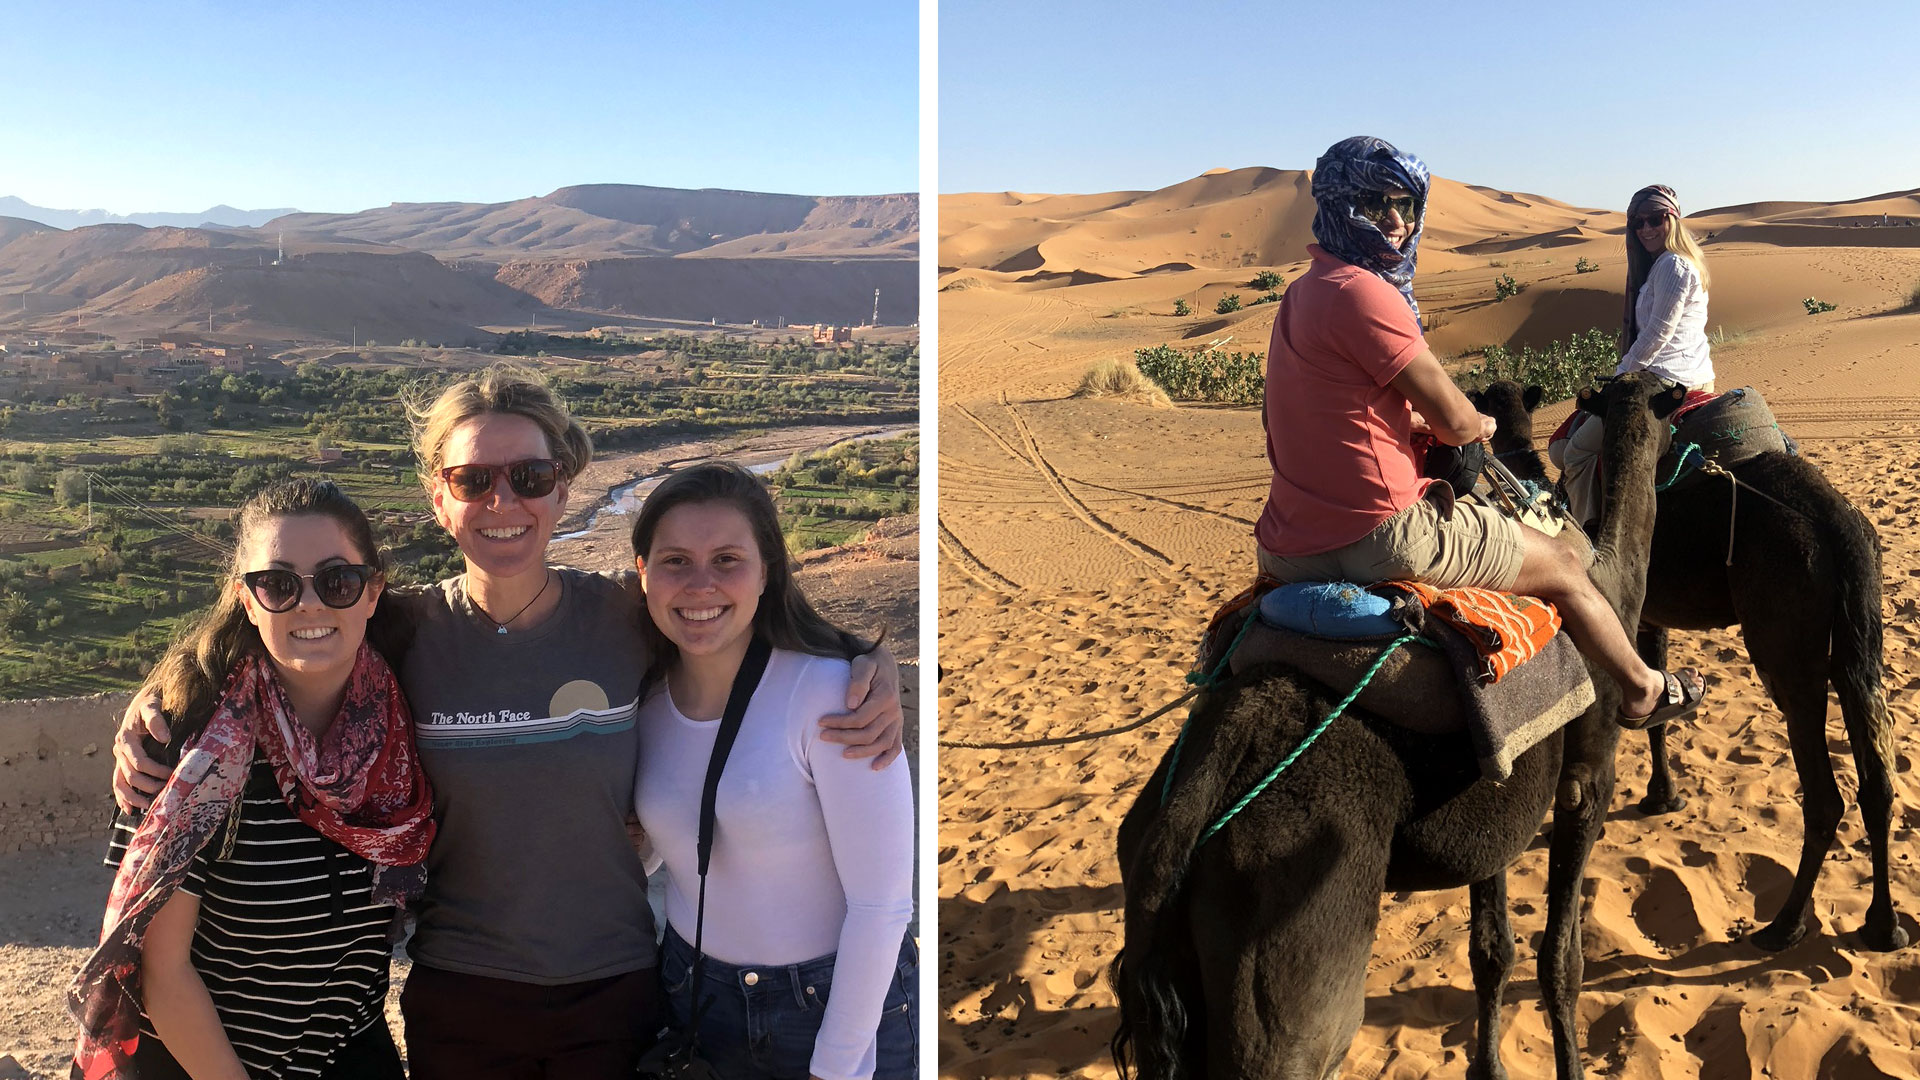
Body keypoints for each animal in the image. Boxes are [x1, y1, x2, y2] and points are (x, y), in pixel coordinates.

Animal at [1113, 372, 1681, 1076]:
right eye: (1673, 406)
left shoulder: (1498, 804)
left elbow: (1493, 951)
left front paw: (1489, 1066)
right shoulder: (1587, 775)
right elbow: (1562, 962)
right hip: (1293, 957)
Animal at [1466, 380, 1904, 949]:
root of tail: (1839, 522)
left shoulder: (1639, 614)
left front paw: (1655, 797)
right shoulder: (1652, 616)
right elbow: (1658, 712)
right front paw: (1665, 796)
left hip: (1785, 644)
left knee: (1825, 793)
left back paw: (1784, 926)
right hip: (1858, 638)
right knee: (1876, 776)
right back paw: (1883, 926)